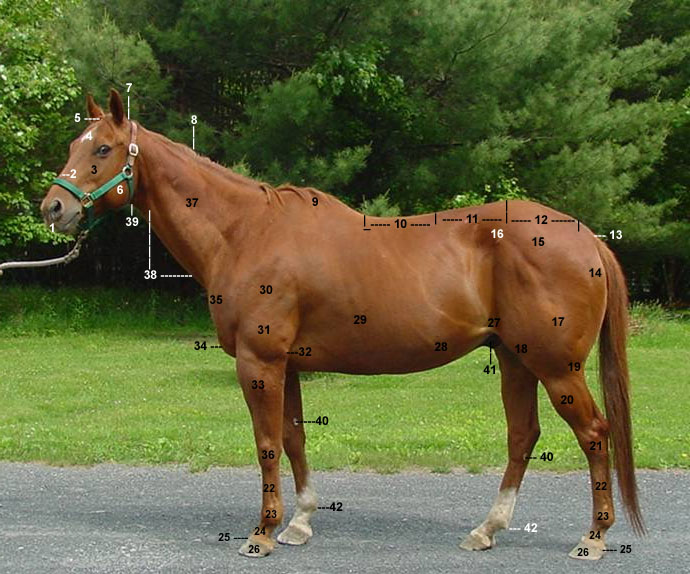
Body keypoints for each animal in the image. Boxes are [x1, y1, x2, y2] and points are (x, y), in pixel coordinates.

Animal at [40, 89, 643, 560]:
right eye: (72, 146)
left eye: (102, 148)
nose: (53, 208)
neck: (245, 233)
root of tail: (587, 239)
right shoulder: (287, 365)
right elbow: (293, 437)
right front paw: (300, 523)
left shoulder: (258, 362)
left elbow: (265, 442)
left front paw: (262, 533)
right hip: (517, 359)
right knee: (523, 436)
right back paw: (487, 530)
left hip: (555, 366)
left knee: (594, 435)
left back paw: (593, 538)